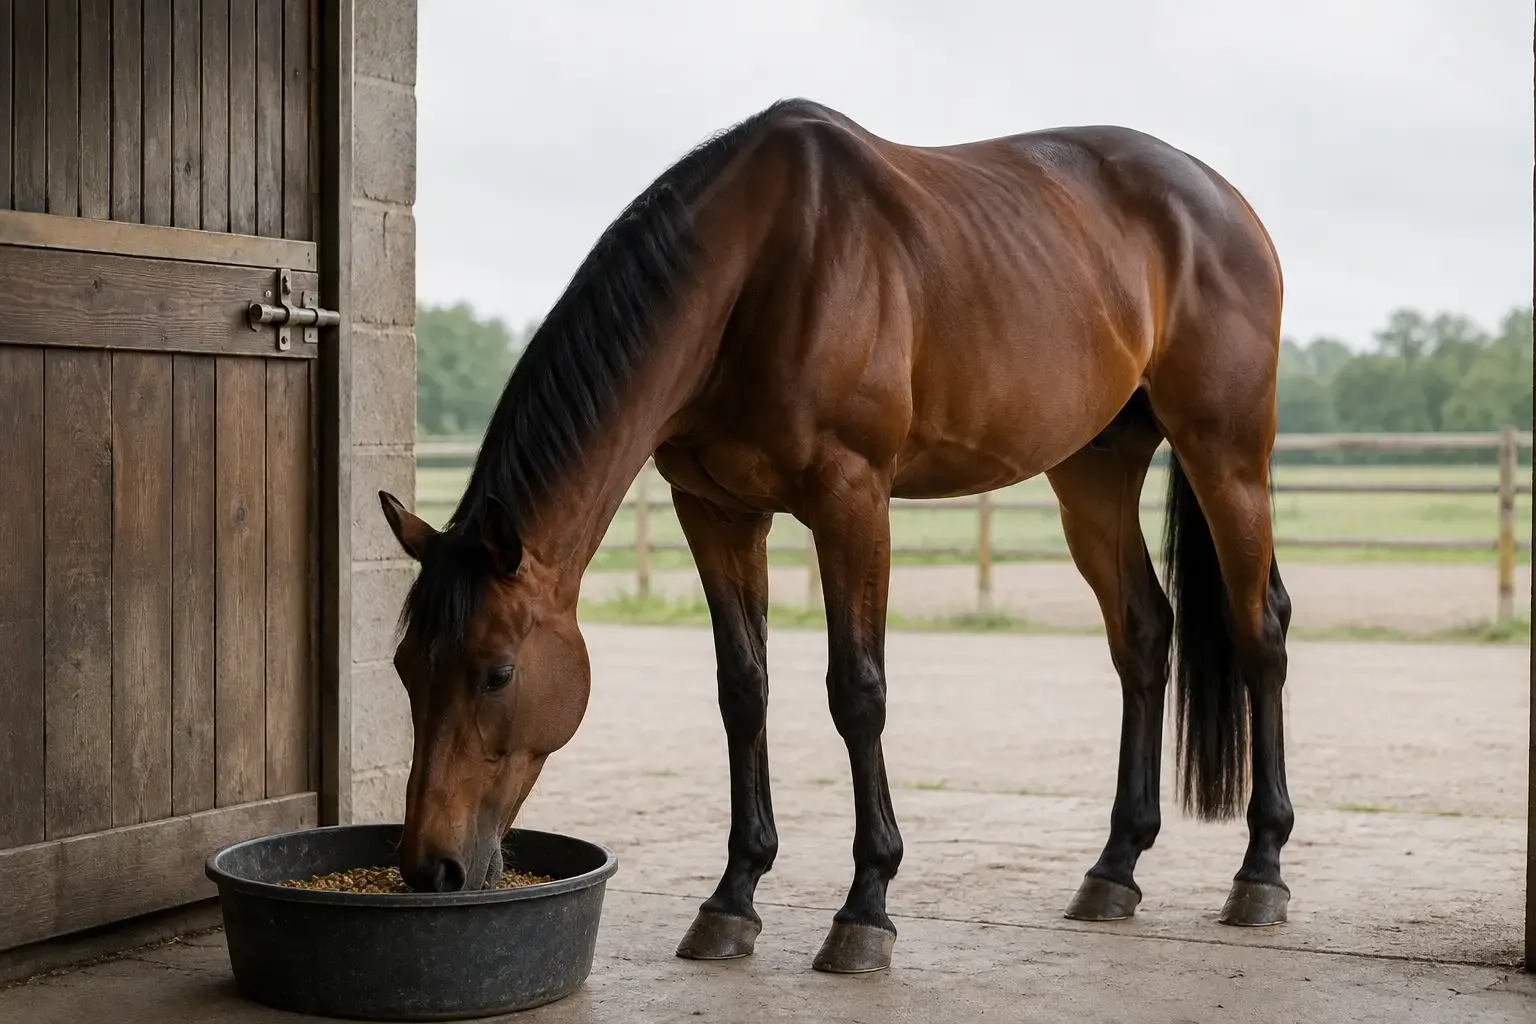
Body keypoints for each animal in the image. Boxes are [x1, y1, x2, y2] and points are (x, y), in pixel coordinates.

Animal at [378, 97, 1292, 974]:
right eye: (406, 667)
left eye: (497, 673)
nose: (431, 869)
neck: (756, 270)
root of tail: (1223, 200)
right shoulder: (714, 510)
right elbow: (743, 690)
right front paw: (732, 898)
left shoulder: (852, 498)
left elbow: (857, 693)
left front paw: (865, 910)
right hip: (1093, 471)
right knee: (1143, 632)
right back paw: (1114, 869)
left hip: (1226, 452)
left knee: (1261, 633)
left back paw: (1261, 871)